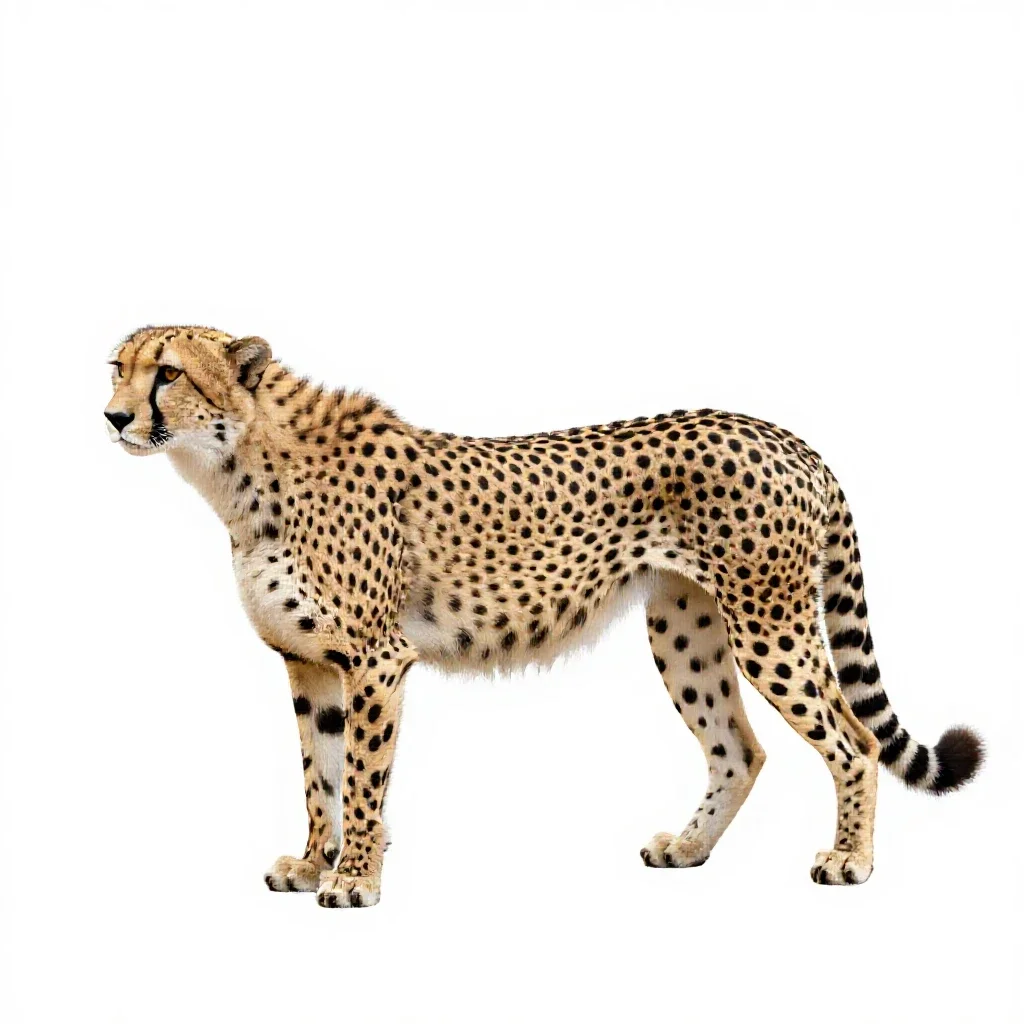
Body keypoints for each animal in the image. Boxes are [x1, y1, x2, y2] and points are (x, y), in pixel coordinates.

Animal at [104, 325, 983, 907]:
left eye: (168, 374)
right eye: (118, 368)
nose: (113, 416)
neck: (235, 466)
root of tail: (783, 434)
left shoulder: (377, 660)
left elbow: (360, 777)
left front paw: (353, 877)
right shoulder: (310, 661)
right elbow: (318, 774)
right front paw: (315, 862)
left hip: (769, 624)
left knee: (854, 738)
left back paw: (850, 861)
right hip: (685, 628)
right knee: (740, 748)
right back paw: (688, 848)